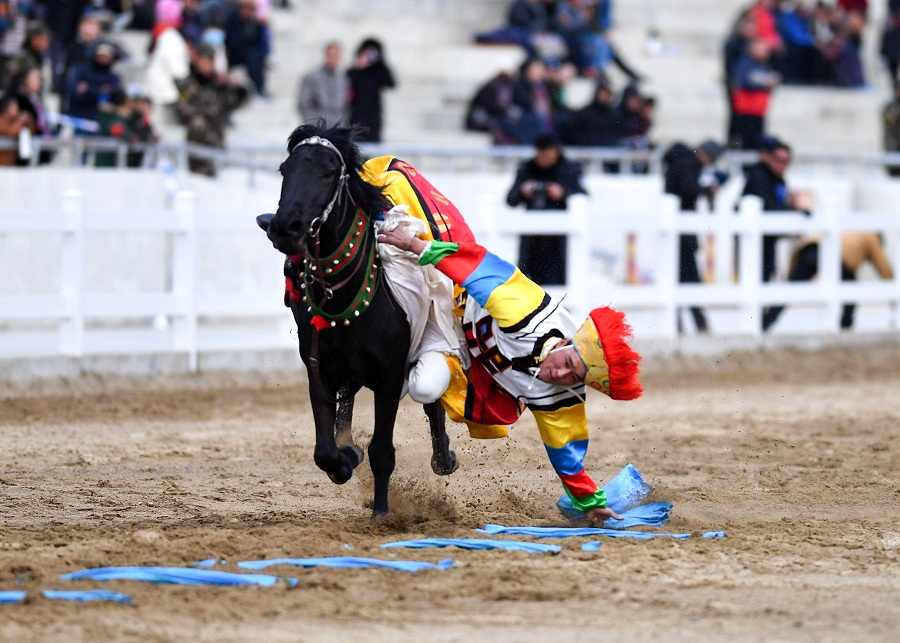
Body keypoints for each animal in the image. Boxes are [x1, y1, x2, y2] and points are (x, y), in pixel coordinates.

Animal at [258, 124, 458, 520]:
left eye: (328, 172)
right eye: (285, 169)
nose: (286, 227)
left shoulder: (390, 375)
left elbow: (383, 450)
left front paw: (381, 511)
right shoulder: (318, 367)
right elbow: (325, 450)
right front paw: (346, 458)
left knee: (431, 398)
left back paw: (443, 457)